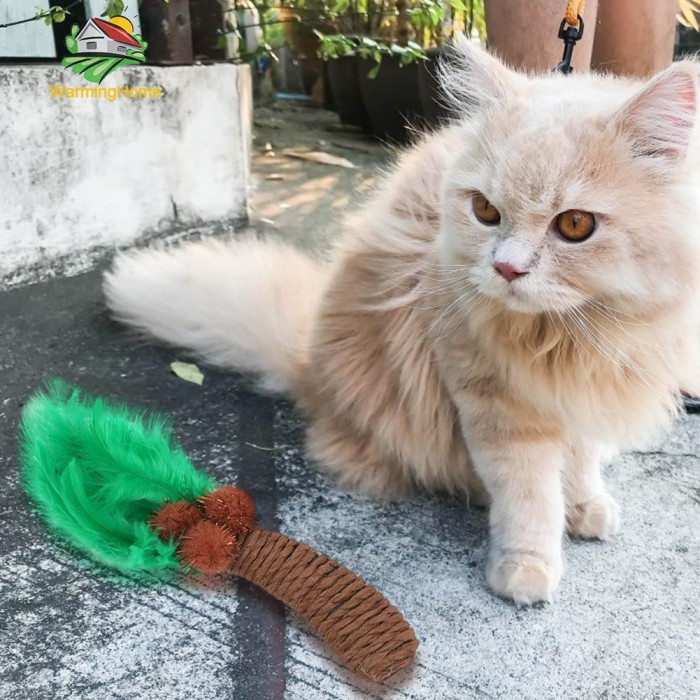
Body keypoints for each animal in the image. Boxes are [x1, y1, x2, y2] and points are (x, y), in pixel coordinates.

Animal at [104, 39, 700, 605]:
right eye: (485, 211)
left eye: (575, 225)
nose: (506, 268)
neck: (568, 336)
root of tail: (309, 365)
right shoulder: (497, 407)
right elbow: (529, 494)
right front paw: (528, 565)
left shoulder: (587, 395)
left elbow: (581, 463)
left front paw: (586, 505)